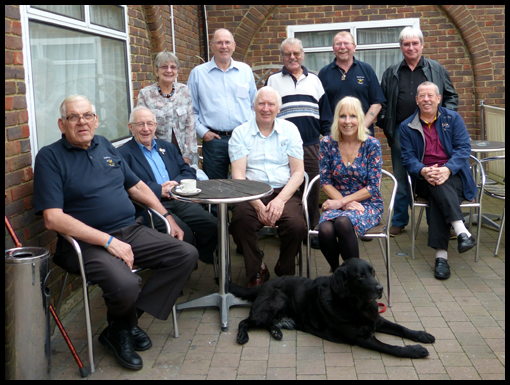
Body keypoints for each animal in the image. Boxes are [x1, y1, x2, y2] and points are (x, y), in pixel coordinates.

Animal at [230, 256, 434, 358]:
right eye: (360, 276)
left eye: (373, 272)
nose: (380, 288)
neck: (357, 306)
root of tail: (263, 285)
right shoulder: (364, 338)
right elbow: (393, 348)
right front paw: (415, 351)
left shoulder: (377, 320)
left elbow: (402, 328)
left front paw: (422, 335)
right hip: (273, 303)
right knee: (245, 321)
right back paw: (243, 336)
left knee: (266, 323)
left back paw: (276, 332)